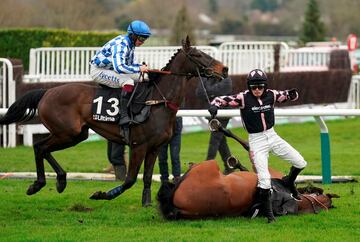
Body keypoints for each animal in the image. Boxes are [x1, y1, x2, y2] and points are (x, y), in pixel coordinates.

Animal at [0, 36, 228, 205]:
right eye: (198, 55)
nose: (224, 69)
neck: (157, 101)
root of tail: (47, 92)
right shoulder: (138, 146)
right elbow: (129, 180)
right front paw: (102, 194)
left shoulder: (154, 147)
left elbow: (146, 177)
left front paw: (147, 203)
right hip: (66, 132)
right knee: (39, 147)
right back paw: (39, 184)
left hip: (76, 135)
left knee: (43, 148)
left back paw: (60, 180)